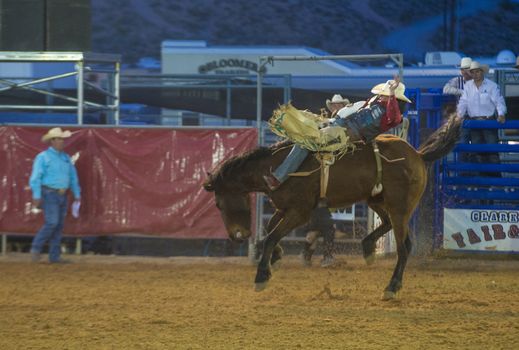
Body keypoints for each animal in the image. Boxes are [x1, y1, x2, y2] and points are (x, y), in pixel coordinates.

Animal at [203, 116, 464, 300]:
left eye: (218, 203)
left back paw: (391, 286)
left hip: (400, 207)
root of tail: (417, 155)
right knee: (386, 224)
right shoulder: (284, 208)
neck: (275, 168)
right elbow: (270, 231)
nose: (236, 236)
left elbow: (271, 236)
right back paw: (368, 248)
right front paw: (274, 259)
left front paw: (261, 276)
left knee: (404, 246)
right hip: (376, 199)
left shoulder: (299, 212)